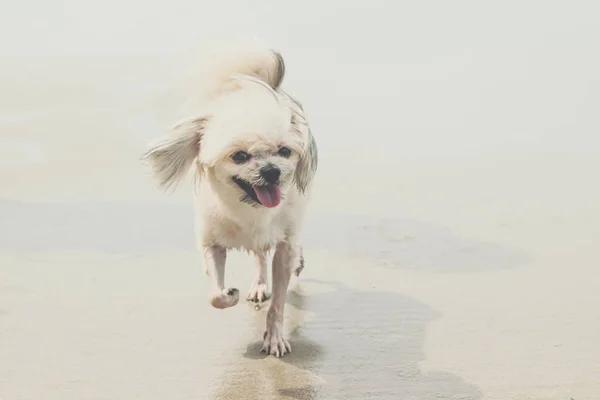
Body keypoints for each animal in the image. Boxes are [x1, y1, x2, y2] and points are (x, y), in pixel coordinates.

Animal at [142, 40, 318, 356]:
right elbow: (215, 296)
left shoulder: (284, 244)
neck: (250, 211)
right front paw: (229, 293)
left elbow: (279, 302)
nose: (271, 171)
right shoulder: (211, 244)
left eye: (285, 151)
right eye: (239, 156)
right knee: (259, 256)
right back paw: (259, 284)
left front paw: (274, 337)